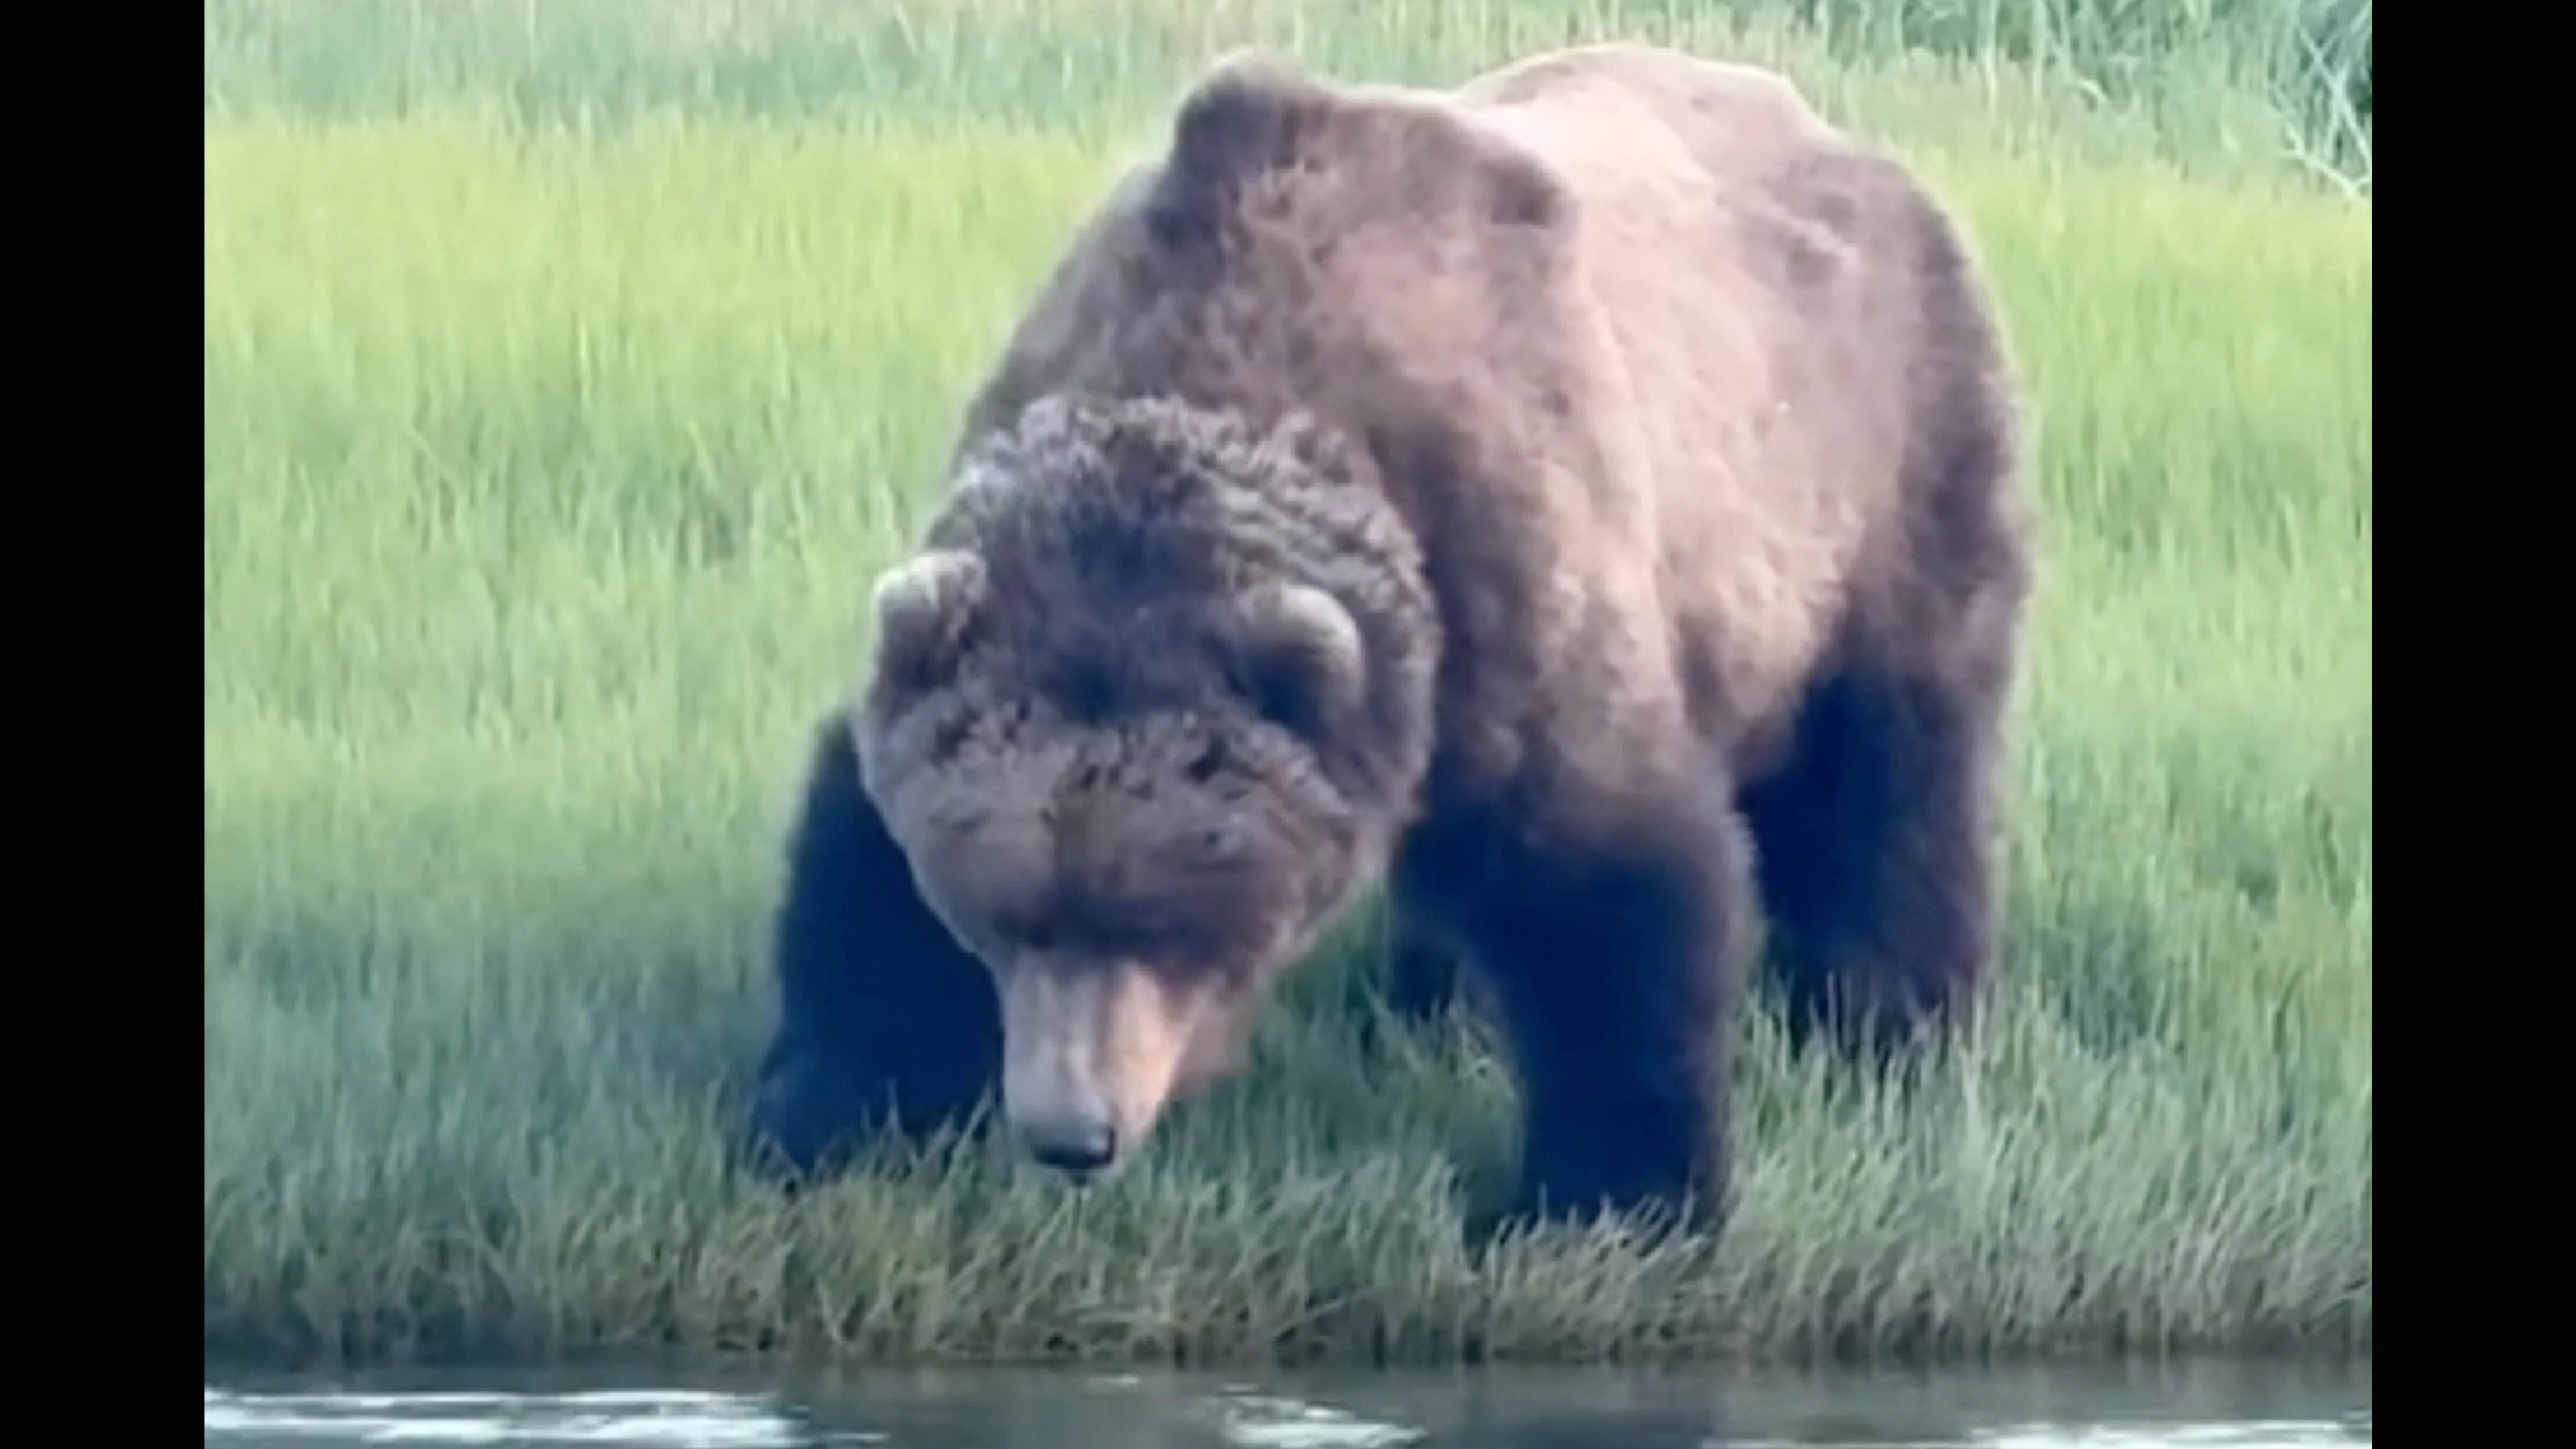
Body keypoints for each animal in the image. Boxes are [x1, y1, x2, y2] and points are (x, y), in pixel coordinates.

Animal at [745, 40, 2032, 1238]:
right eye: (1002, 913)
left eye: (1164, 921)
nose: (1073, 1134)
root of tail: (1847, 140)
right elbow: (860, 877)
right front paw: (826, 1119)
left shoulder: (1510, 559)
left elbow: (1607, 887)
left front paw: (1609, 1203)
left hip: (1872, 475)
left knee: (1890, 777)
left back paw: (1893, 1030)